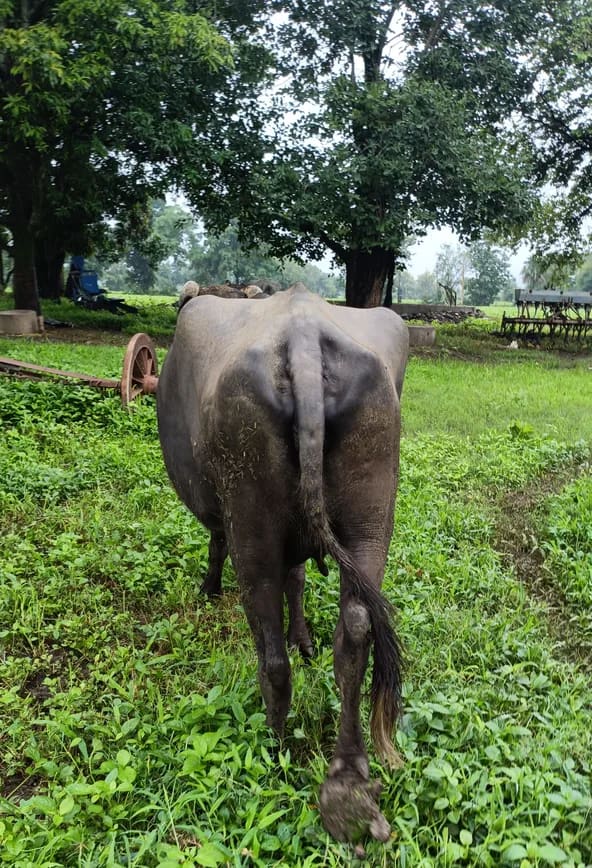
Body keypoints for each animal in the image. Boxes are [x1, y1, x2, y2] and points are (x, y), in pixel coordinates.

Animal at [157, 283, 409, 842]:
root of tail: (303, 340)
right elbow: (299, 581)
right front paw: (305, 637)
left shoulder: (224, 516)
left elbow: (219, 546)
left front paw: (209, 587)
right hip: (372, 515)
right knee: (355, 628)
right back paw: (349, 780)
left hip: (250, 520)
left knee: (270, 652)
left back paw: (273, 747)